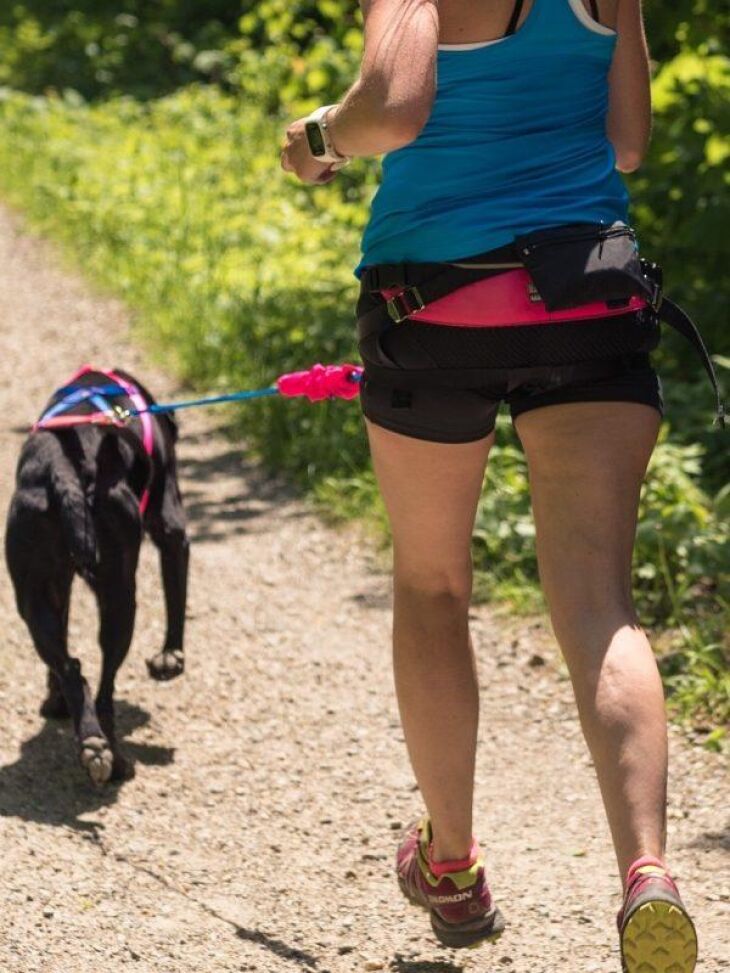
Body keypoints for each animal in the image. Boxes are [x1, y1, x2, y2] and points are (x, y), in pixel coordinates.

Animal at [6, 368, 188, 784]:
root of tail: (64, 470)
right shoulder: (170, 524)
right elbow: (177, 598)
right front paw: (171, 658)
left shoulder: (58, 587)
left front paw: (53, 702)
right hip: (120, 594)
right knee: (104, 687)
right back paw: (114, 758)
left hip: (34, 593)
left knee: (71, 668)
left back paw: (91, 742)